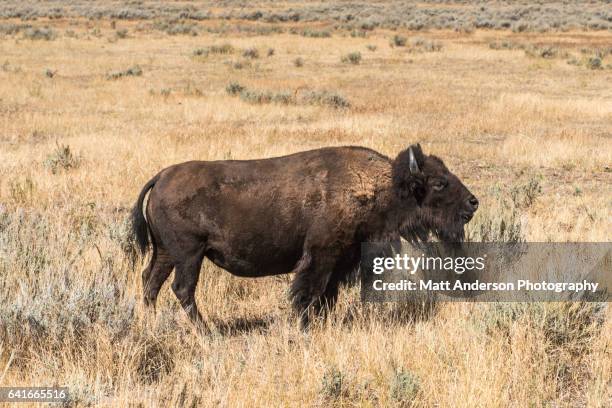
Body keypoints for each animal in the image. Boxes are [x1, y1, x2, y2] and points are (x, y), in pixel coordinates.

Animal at [131, 143, 478, 328]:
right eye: (439, 183)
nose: (473, 202)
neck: (381, 186)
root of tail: (161, 176)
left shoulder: (341, 262)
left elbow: (326, 296)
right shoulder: (321, 257)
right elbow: (309, 292)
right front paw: (304, 324)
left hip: (166, 253)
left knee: (151, 281)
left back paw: (151, 321)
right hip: (190, 254)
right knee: (182, 288)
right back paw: (207, 331)